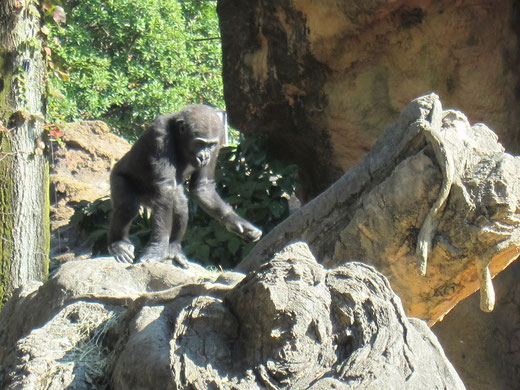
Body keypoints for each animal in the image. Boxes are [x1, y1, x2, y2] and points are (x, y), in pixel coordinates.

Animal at [110, 104, 264, 266]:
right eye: (199, 143)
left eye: (211, 145)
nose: (204, 156)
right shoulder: (160, 135)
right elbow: (166, 188)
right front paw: (157, 248)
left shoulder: (218, 143)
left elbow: (202, 187)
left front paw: (237, 222)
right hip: (117, 176)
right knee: (128, 206)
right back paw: (118, 244)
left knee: (179, 204)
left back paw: (174, 248)